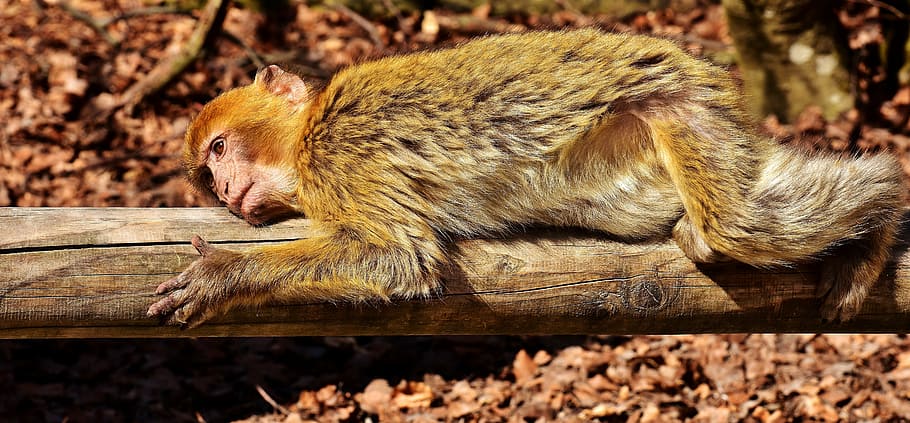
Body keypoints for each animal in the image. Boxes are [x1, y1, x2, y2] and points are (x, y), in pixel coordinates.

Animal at [148, 28, 904, 327]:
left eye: (219, 148)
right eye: (208, 170)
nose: (222, 192)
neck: (303, 136)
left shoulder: (339, 154)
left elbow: (400, 257)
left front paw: (224, 276)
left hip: (684, 109)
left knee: (739, 225)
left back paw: (887, 196)